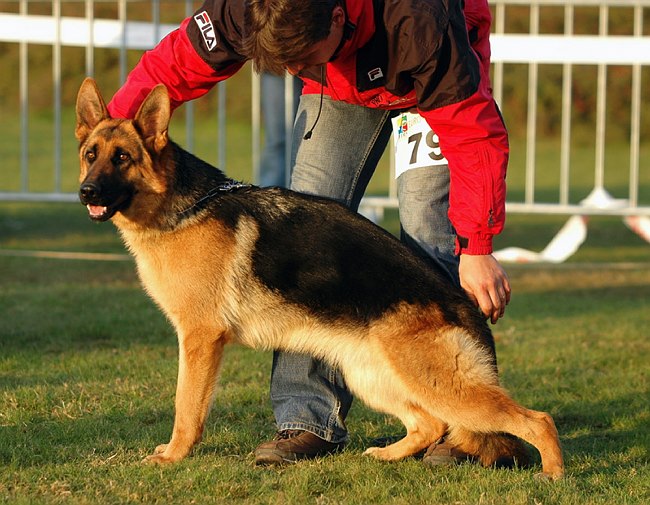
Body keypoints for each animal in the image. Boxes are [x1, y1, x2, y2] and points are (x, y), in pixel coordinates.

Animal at [76, 77, 560, 478]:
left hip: (438, 384)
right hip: (373, 376)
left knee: (536, 420)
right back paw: (387, 455)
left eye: (123, 158)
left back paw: (552, 476)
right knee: (430, 423)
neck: (183, 207)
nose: (86, 192)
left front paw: (175, 455)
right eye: (90, 155)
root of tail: (465, 306)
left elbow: (186, 407)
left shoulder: (200, 340)